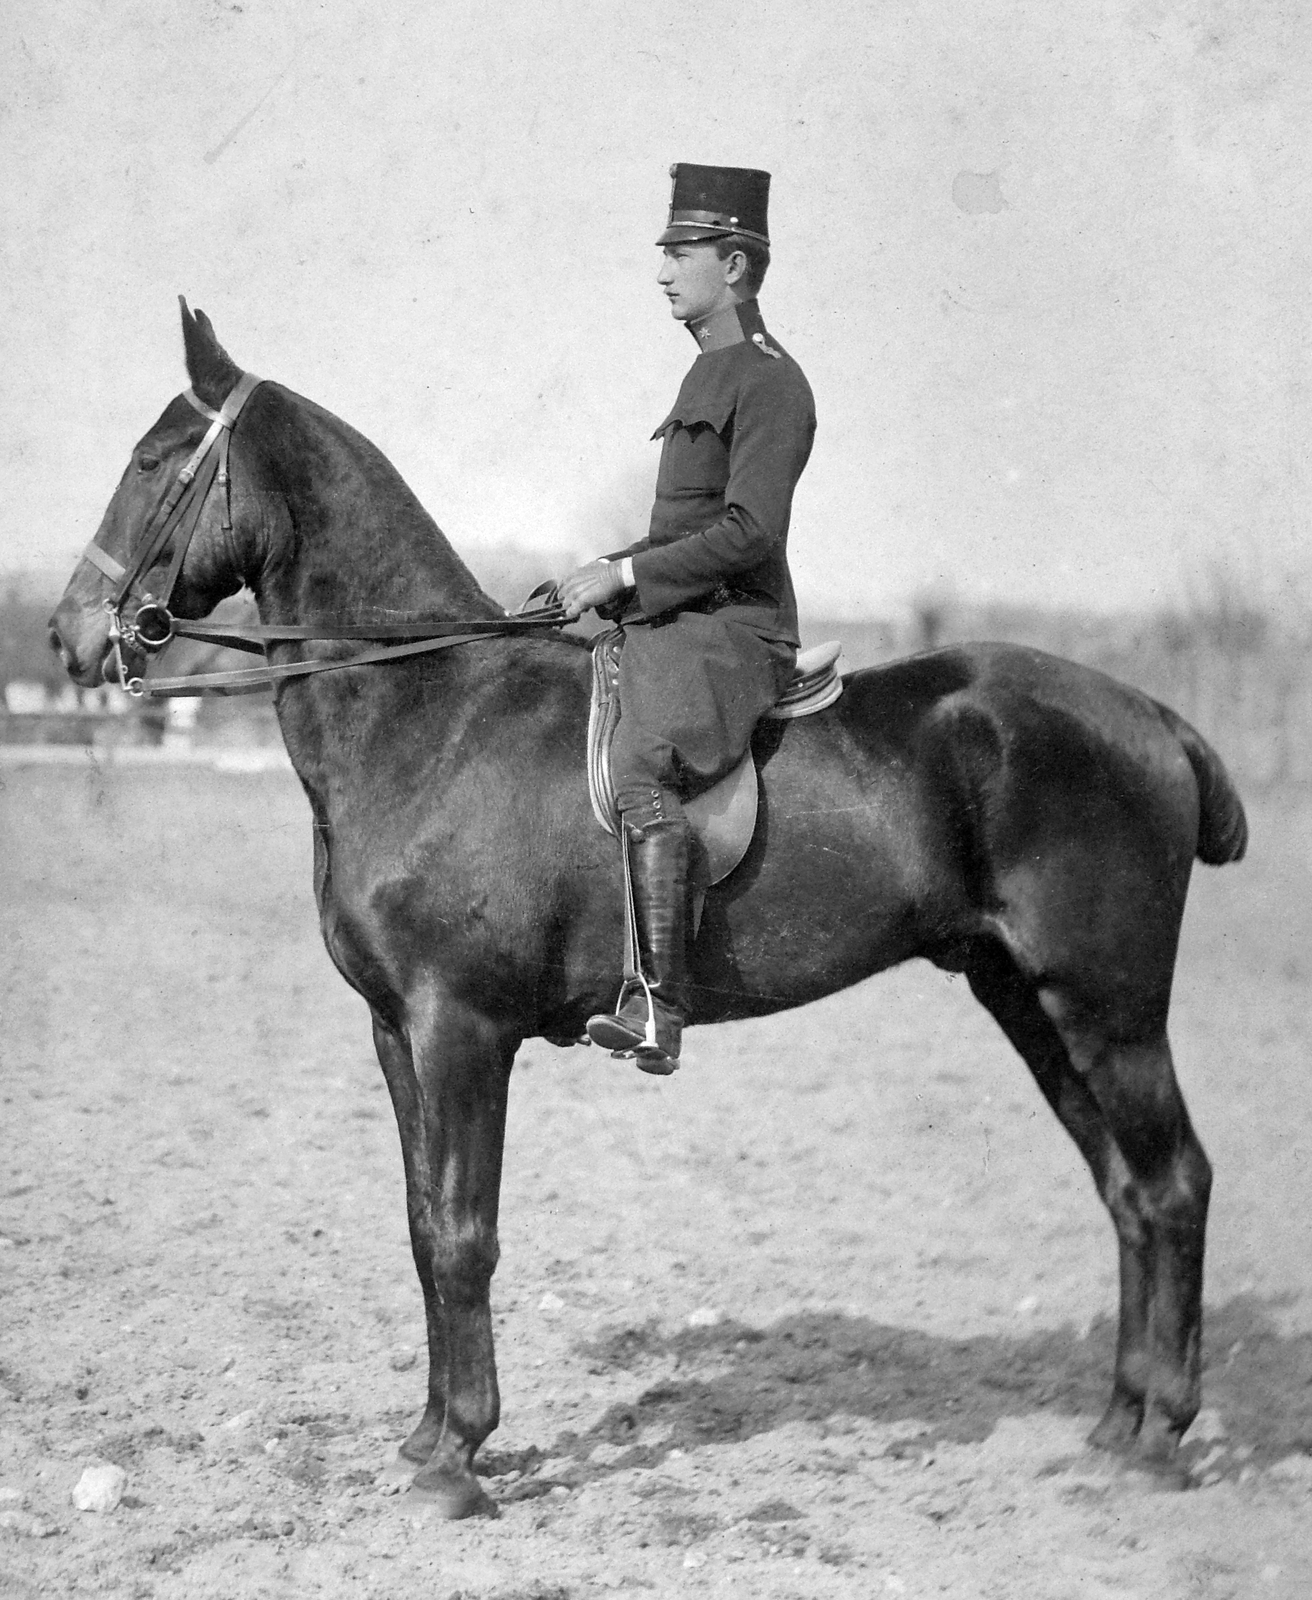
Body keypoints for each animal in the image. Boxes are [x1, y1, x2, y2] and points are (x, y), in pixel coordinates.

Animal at [50, 303, 1248, 1518]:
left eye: (151, 460)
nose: (70, 635)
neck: (428, 711)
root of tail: (1149, 713)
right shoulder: (396, 1033)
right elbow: (422, 1223)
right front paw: (426, 1435)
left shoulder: (460, 1030)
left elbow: (464, 1234)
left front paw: (461, 1455)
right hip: (1028, 1002)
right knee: (1125, 1188)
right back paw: (1117, 1422)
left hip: (1109, 1010)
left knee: (1175, 1182)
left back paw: (1162, 1433)